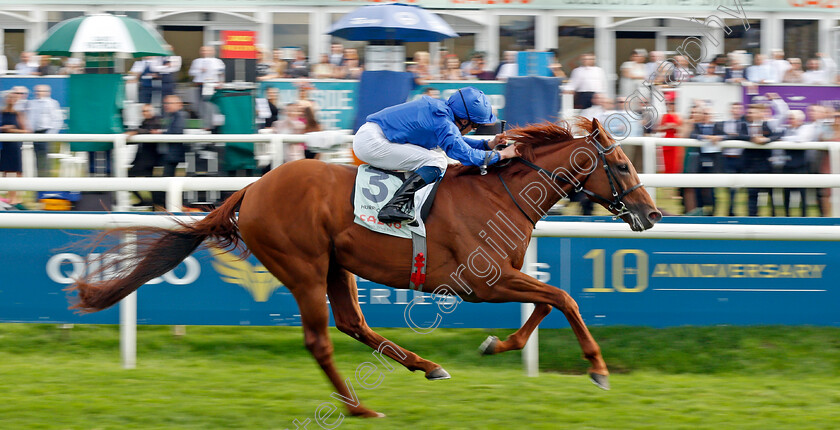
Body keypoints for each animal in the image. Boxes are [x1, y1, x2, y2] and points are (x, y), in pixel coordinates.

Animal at [72, 117, 660, 416]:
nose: (652, 214)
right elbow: (563, 298)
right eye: (622, 163)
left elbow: (547, 302)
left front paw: (499, 345)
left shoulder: (501, 277)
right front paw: (598, 369)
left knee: (353, 323)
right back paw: (357, 407)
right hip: (303, 265)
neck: (501, 194)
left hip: (338, 265)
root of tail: (251, 188)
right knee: (321, 339)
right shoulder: (478, 281)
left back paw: (425, 366)